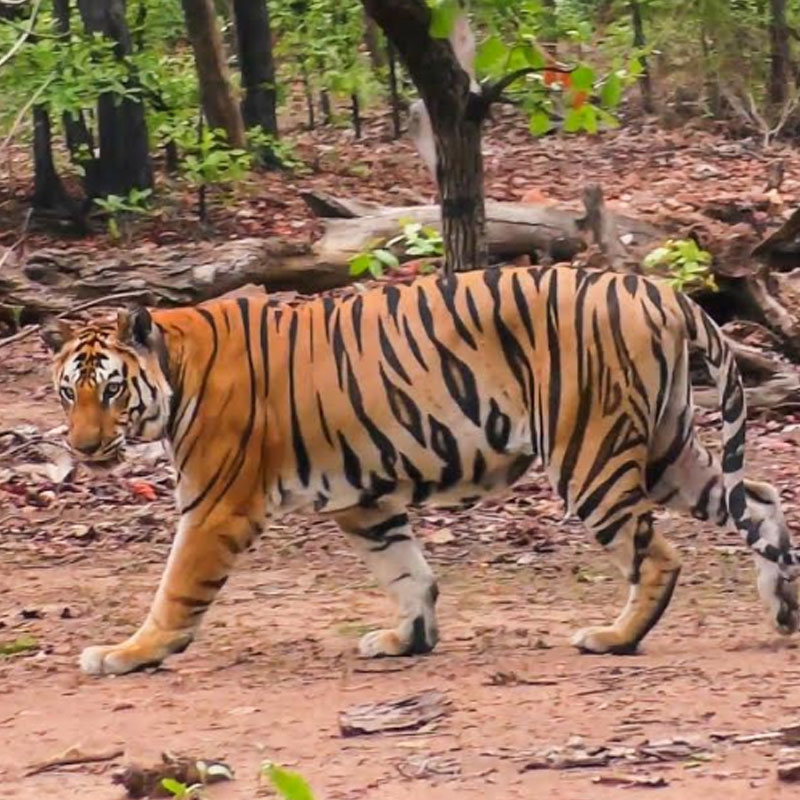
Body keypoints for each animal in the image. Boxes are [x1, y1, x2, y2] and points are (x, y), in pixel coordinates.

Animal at [43, 265, 800, 676]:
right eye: (67, 391)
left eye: (110, 389)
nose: (82, 447)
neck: (176, 367)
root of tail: (660, 291)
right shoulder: (365, 500)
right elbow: (406, 571)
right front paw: (407, 639)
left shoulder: (215, 505)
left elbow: (175, 589)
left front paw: (128, 653)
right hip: (668, 449)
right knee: (759, 498)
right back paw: (784, 608)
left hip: (590, 453)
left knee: (659, 555)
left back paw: (614, 638)